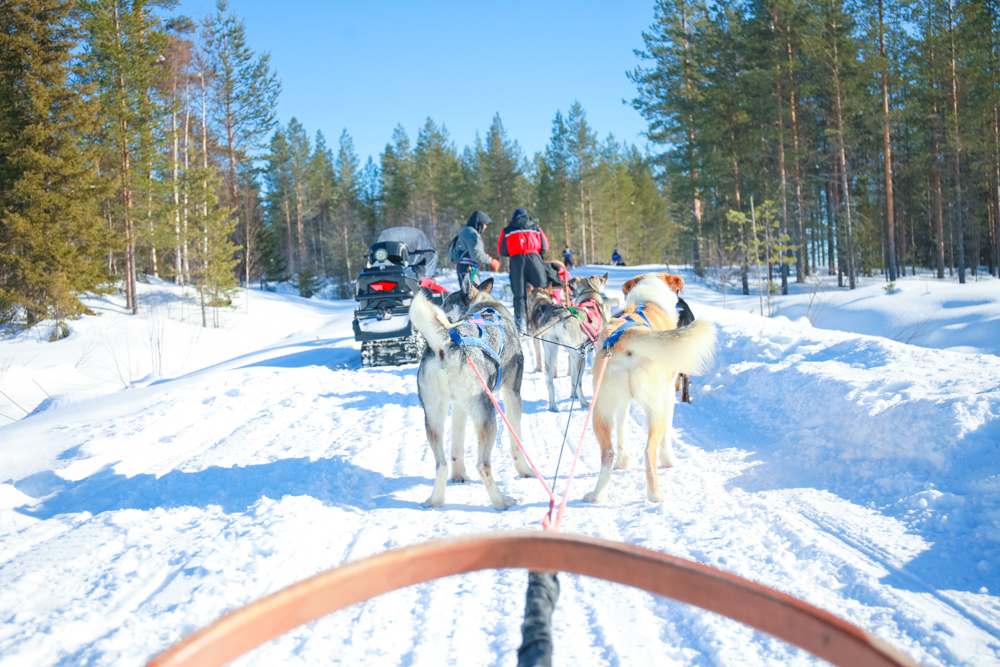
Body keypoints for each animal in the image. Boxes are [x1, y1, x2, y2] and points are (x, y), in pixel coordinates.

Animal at [408, 276, 536, 512]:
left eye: (446, 302)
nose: (441, 308)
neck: (486, 306)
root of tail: (446, 343)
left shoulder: (459, 406)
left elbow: (456, 448)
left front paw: (459, 476)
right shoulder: (512, 394)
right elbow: (516, 444)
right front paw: (525, 471)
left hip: (433, 418)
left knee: (441, 464)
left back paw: (435, 501)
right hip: (488, 416)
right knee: (483, 466)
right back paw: (501, 501)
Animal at [584, 274, 716, 504]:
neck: (648, 300)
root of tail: (628, 333)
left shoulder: (623, 403)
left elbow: (622, 432)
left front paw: (624, 463)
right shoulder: (668, 393)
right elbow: (667, 437)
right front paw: (669, 460)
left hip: (601, 411)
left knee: (607, 452)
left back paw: (597, 495)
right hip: (656, 409)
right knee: (649, 451)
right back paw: (655, 495)